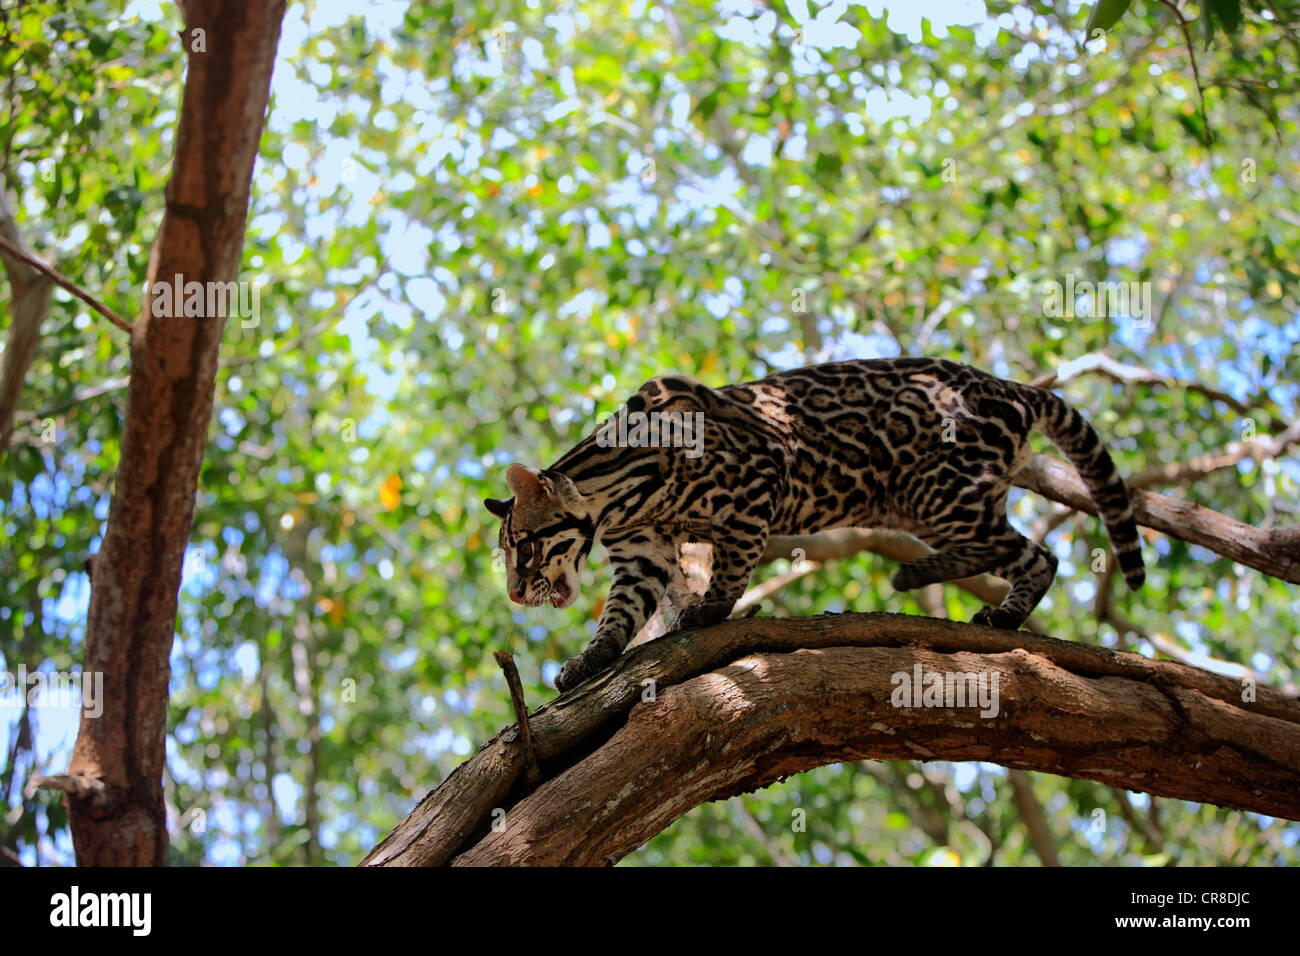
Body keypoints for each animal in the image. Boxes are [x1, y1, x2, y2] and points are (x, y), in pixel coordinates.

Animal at [483, 358, 1144, 697]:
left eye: (524, 547)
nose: (515, 594)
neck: (620, 499)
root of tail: (1011, 385)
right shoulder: (641, 555)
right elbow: (618, 615)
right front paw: (589, 660)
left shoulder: (759, 477)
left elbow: (735, 559)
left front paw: (710, 608)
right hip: (934, 502)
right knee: (1014, 551)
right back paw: (939, 584)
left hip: (938, 495)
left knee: (1033, 553)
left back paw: (971, 600)